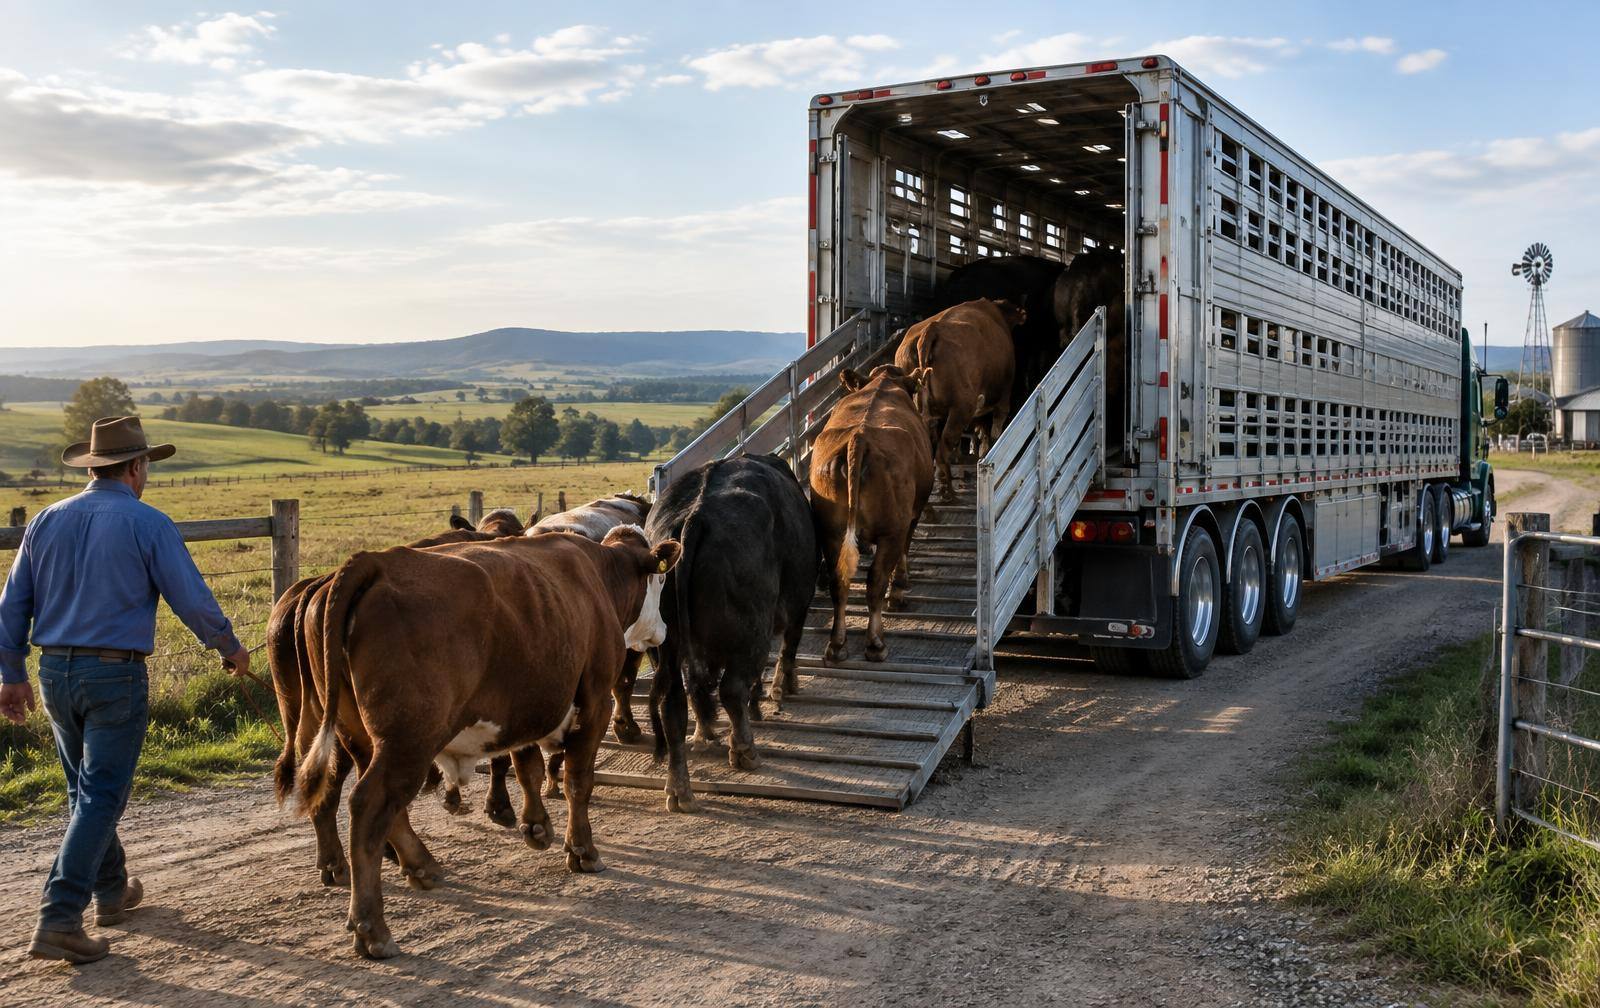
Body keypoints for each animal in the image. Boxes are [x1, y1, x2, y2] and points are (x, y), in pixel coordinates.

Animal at [268, 509, 526, 887]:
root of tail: (315, 589)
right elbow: (500, 755)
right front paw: (496, 806)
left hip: (325, 721)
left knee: (324, 782)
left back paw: (339, 861)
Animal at [291, 525, 682, 958]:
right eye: (660, 581)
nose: (663, 630)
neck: (597, 574)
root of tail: (372, 562)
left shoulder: (526, 704)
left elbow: (527, 769)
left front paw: (537, 827)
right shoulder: (595, 701)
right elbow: (578, 781)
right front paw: (582, 850)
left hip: (362, 737)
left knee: (386, 808)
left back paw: (421, 866)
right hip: (407, 741)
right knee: (369, 805)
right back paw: (372, 927)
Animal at [645, 454, 818, 813]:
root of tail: (696, 516)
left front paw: (704, 731)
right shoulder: (799, 602)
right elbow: (787, 649)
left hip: (664, 649)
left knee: (675, 703)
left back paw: (680, 787)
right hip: (749, 634)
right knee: (732, 689)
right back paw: (744, 750)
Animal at [810, 364, 935, 666]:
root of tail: (860, 437)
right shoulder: (912, 515)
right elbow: (904, 552)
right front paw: (899, 589)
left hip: (830, 531)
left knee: (839, 581)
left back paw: (836, 645)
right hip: (892, 529)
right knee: (875, 579)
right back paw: (876, 643)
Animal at [895, 297, 1024, 502]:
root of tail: (931, 329)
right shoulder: (1003, 395)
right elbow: (995, 428)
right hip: (961, 408)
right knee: (944, 448)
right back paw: (947, 492)